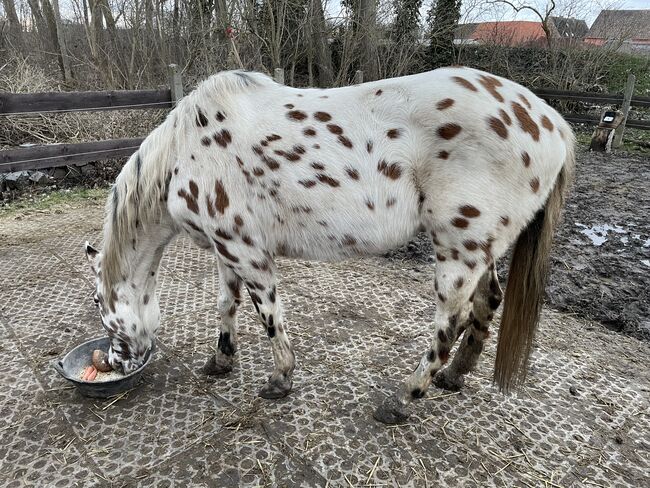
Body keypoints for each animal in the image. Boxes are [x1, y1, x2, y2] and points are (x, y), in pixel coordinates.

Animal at [82, 66, 572, 426]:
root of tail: (554, 125)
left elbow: (269, 316)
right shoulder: (226, 250)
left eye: (98, 305)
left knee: (448, 324)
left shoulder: (247, 253)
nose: (113, 363)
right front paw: (220, 361)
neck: (185, 151)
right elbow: (226, 304)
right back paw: (454, 376)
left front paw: (279, 380)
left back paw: (403, 398)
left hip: (458, 251)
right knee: (487, 301)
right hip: (480, 249)